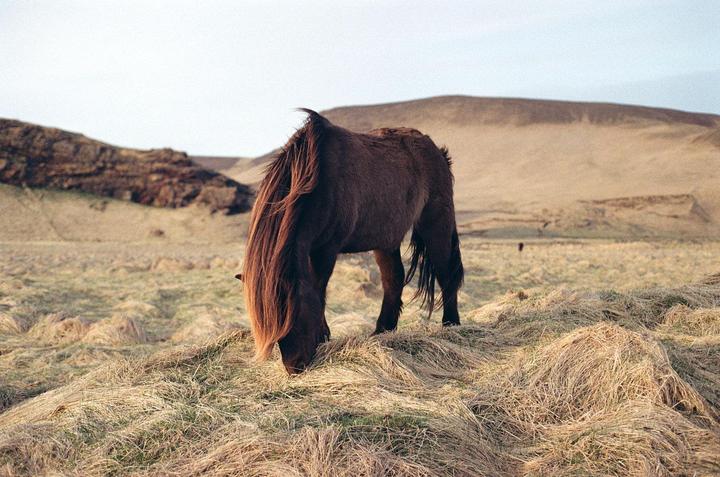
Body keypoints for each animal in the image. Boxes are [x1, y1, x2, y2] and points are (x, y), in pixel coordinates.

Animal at [243, 109, 464, 374]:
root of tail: (437, 151)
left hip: (435, 224)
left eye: (293, 312)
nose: (295, 366)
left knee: (446, 274)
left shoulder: (326, 250)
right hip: (386, 240)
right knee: (394, 279)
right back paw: (382, 331)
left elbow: (319, 289)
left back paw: (451, 324)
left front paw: (323, 336)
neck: (316, 180)